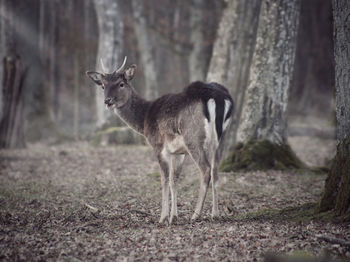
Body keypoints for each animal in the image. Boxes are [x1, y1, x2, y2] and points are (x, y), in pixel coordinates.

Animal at [86, 57, 234, 225]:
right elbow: (174, 179)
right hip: (223, 137)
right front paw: (174, 216)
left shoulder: (159, 146)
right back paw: (215, 213)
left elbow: (164, 179)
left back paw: (196, 214)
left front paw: (163, 217)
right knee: (216, 170)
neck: (144, 119)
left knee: (206, 169)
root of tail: (218, 97)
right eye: (103, 85)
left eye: (121, 83)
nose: (108, 101)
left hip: (193, 137)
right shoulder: (178, 152)